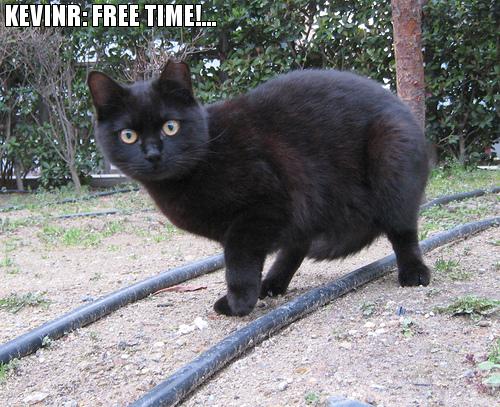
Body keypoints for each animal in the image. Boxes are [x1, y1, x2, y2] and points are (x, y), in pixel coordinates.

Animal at [87, 60, 430, 317]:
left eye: (170, 127)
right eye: (128, 135)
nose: (153, 154)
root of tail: (401, 106)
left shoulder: (261, 209)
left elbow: (239, 264)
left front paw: (238, 304)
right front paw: (247, 297)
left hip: (390, 156)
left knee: (403, 231)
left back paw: (414, 272)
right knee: (296, 245)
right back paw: (271, 285)